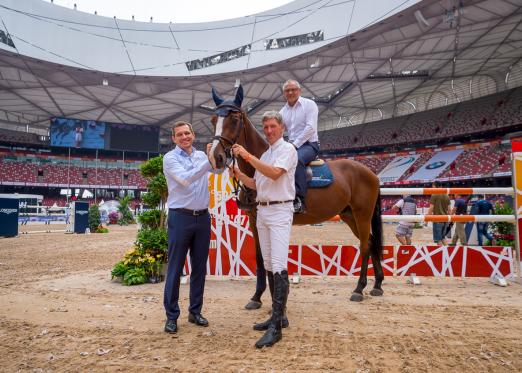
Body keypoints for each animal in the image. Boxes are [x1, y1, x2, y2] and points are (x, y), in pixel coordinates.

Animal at [207, 86, 382, 302]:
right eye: (213, 120)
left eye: (234, 119)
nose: (215, 157)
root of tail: (371, 173)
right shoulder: (254, 219)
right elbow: (260, 256)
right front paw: (257, 296)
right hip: (349, 215)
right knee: (372, 243)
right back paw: (377, 285)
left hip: (362, 214)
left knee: (365, 246)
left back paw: (359, 289)